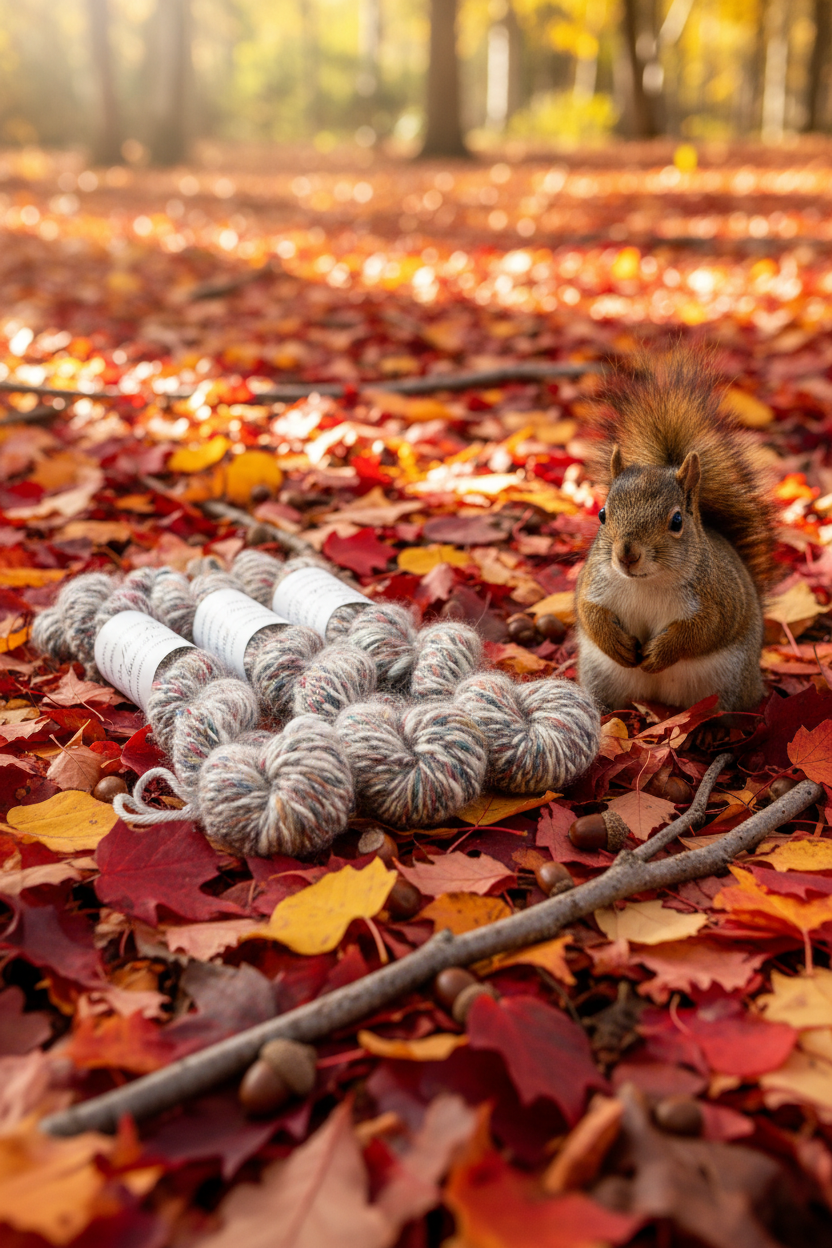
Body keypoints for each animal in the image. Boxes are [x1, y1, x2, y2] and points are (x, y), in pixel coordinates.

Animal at [575, 349, 777, 713]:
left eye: (677, 521)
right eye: (602, 514)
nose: (627, 555)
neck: (645, 584)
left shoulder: (717, 600)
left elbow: (702, 631)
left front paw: (661, 653)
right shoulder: (592, 583)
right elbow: (588, 612)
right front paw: (615, 643)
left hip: (730, 687)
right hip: (599, 677)